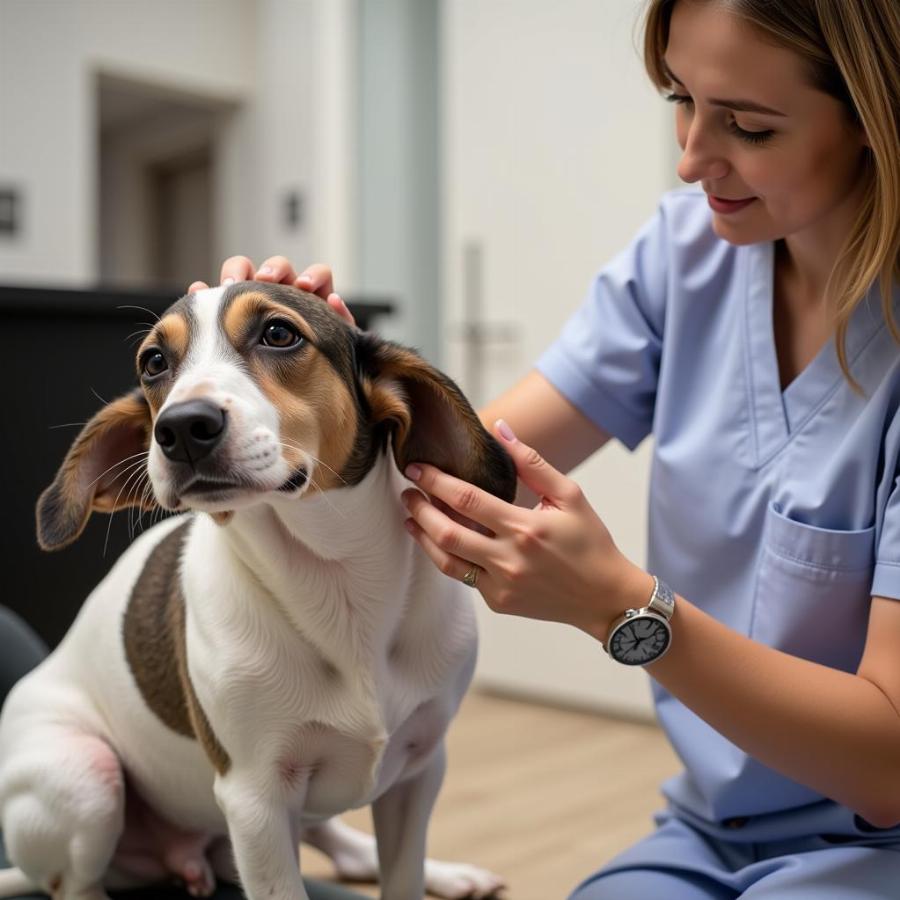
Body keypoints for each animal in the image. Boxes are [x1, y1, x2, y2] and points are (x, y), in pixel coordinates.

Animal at [0, 284, 512, 900]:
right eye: (154, 362)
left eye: (278, 333)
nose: (180, 428)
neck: (335, 583)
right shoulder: (255, 801)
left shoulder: (418, 771)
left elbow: (402, 876)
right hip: (87, 779)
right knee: (78, 882)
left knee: (344, 848)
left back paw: (449, 873)